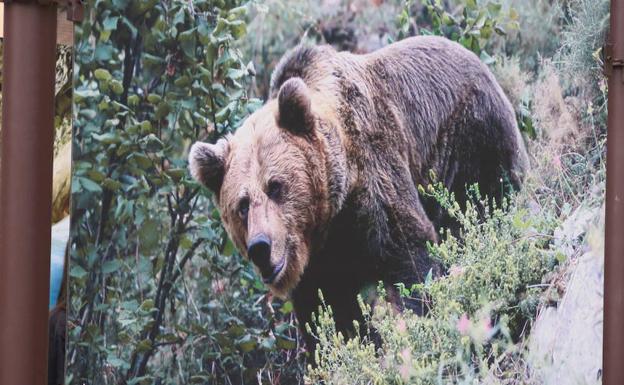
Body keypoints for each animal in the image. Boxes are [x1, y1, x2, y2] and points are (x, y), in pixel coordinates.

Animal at [189, 34, 528, 350]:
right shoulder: (320, 261)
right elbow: (326, 312)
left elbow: (410, 256)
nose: (260, 247)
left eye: (276, 186)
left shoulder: (376, 178)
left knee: (489, 199)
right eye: (242, 205)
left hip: (473, 141)